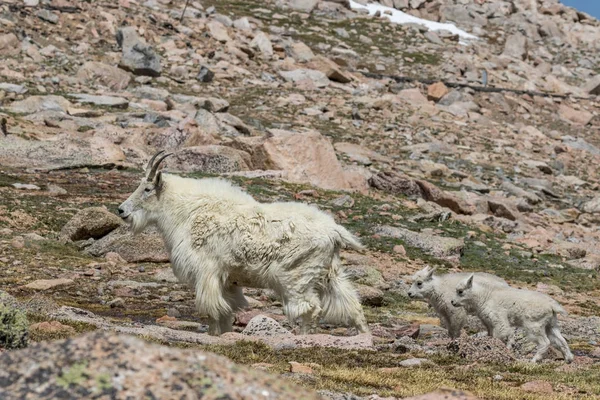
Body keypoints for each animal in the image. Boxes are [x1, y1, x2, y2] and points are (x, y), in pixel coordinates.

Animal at [118, 152, 370, 336]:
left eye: (147, 189)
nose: (121, 210)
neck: (185, 211)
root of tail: (334, 231)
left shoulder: (207, 271)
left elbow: (212, 309)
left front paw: (214, 335)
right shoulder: (228, 279)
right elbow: (227, 309)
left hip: (297, 276)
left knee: (311, 308)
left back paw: (303, 338)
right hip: (330, 272)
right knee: (352, 306)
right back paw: (364, 337)